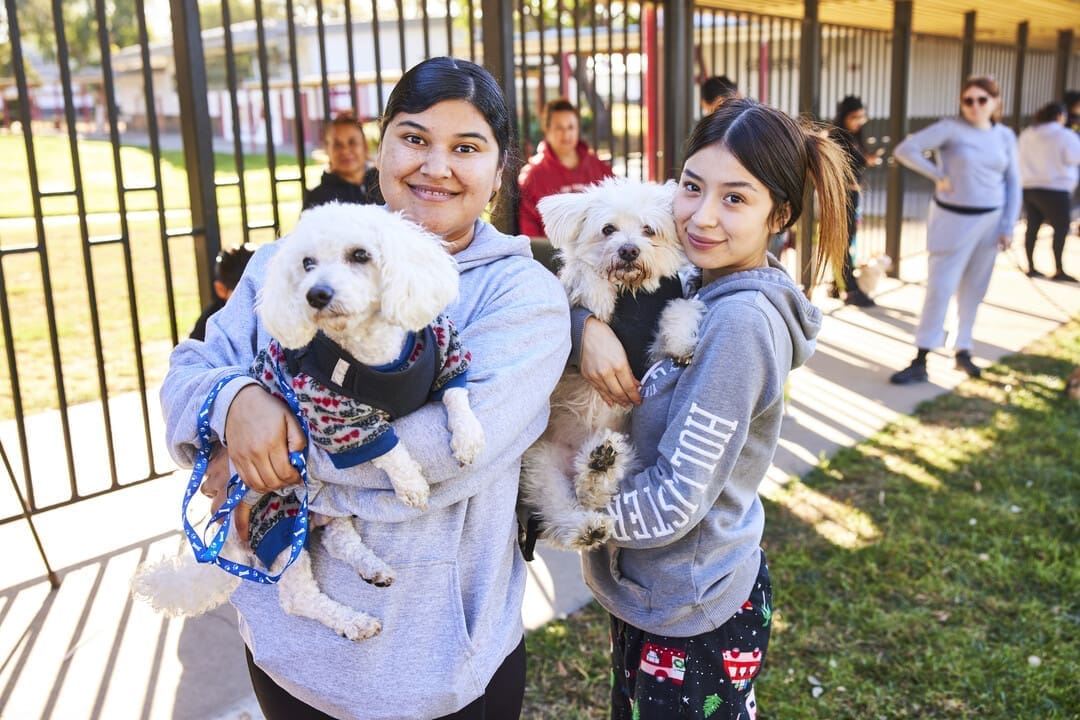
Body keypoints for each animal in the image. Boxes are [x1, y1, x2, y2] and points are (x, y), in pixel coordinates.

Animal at [518, 179, 704, 552]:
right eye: (608, 230)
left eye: (649, 230)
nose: (629, 251)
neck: (631, 293)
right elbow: (583, 275)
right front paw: (598, 296)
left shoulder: (649, 355)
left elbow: (679, 308)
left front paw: (681, 342)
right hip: (542, 465)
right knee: (563, 507)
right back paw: (586, 519)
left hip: (628, 454)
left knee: (593, 493)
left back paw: (600, 468)